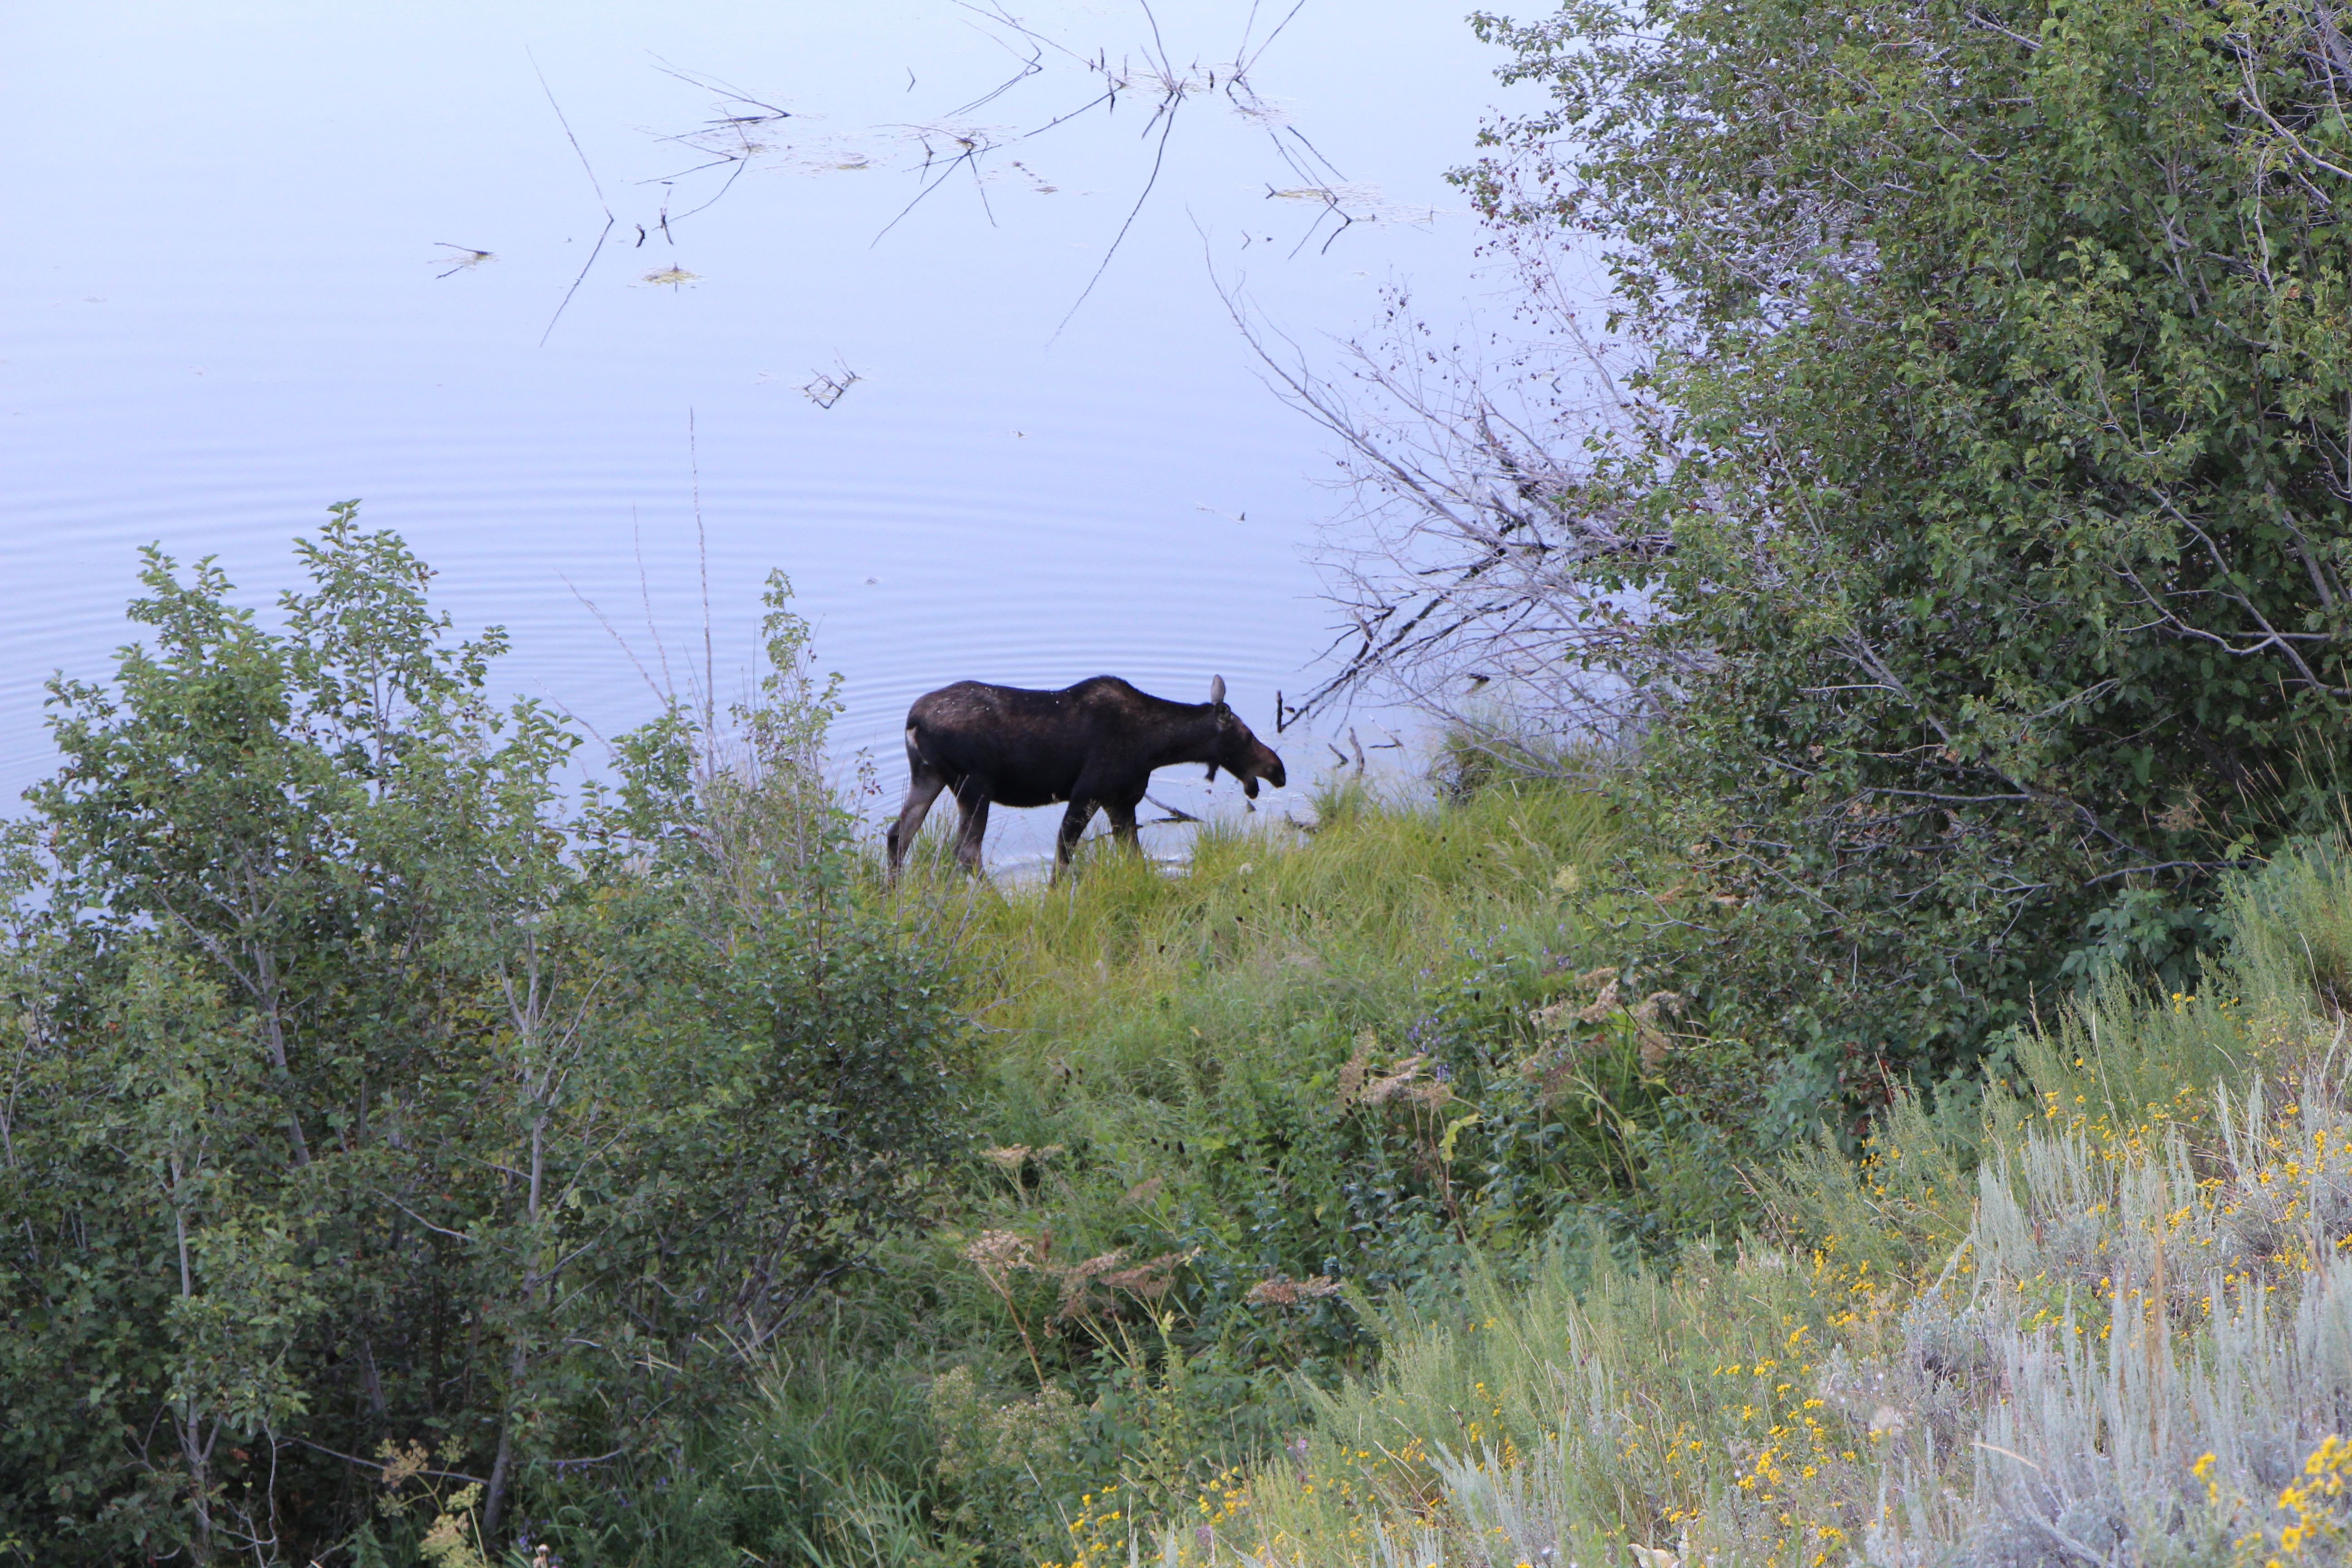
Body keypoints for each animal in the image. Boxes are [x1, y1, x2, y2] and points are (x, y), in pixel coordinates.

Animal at [884, 667, 1289, 879]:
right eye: (1246, 735)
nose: (1278, 770)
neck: (1155, 748)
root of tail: (913, 721)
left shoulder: (1122, 802)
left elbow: (1135, 859)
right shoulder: (1088, 793)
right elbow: (1064, 856)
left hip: (928, 777)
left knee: (898, 833)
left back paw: (893, 894)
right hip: (975, 786)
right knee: (966, 850)